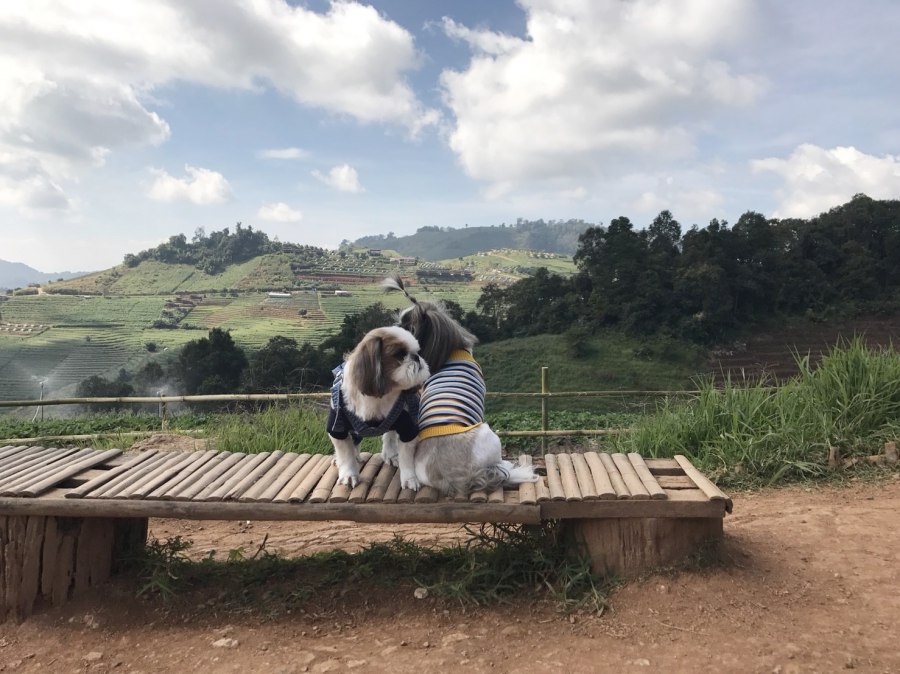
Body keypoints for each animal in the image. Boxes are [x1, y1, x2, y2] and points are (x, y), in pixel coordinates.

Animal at [326, 325, 430, 489]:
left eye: (418, 352)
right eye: (400, 355)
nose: (416, 358)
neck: (379, 398)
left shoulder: (407, 426)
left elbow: (406, 457)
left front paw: (409, 478)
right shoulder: (338, 427)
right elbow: (346, 454)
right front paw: (349, 474)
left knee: (389, 434)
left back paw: (390, 455)